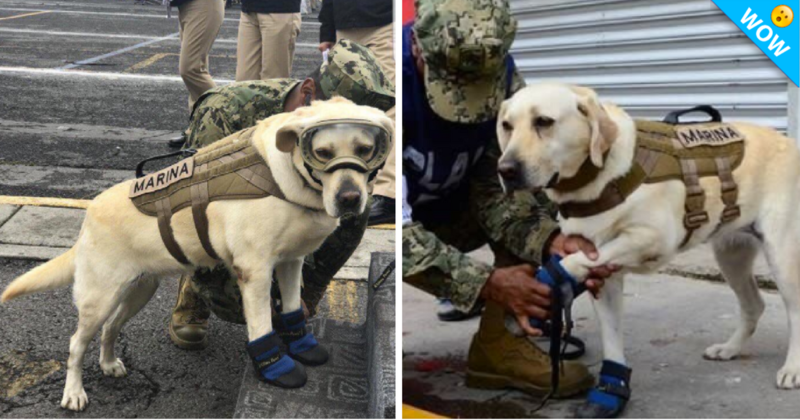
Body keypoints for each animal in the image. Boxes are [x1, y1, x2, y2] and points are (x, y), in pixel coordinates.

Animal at [0, 97, 392, 410]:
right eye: (322, 153)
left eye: (365, 149)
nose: (350, 199)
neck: (287, 178)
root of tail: (89, 216)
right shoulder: (254, 272)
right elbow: (263, 326)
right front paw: (276, 368)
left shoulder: (291, 263)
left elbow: (293, 309)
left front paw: (304, 346)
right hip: (99, 297)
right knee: (75, 344)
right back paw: (74, 393)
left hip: (138, 290)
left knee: (111, 328)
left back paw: (109, 363)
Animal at [496, 81, 800, 406]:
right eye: (506, 126)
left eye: (544, 121)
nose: (505, 170)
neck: (597, 176)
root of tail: (789, 142)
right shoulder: (605, 278)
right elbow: (611, 336)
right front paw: (611, 388)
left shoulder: (653, 238)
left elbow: (576, 260)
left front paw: (551, 277)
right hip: (731, 255)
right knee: (754, 304)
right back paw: (729, 348)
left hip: (782, 257)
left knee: (795, 310)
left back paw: (792, 368)